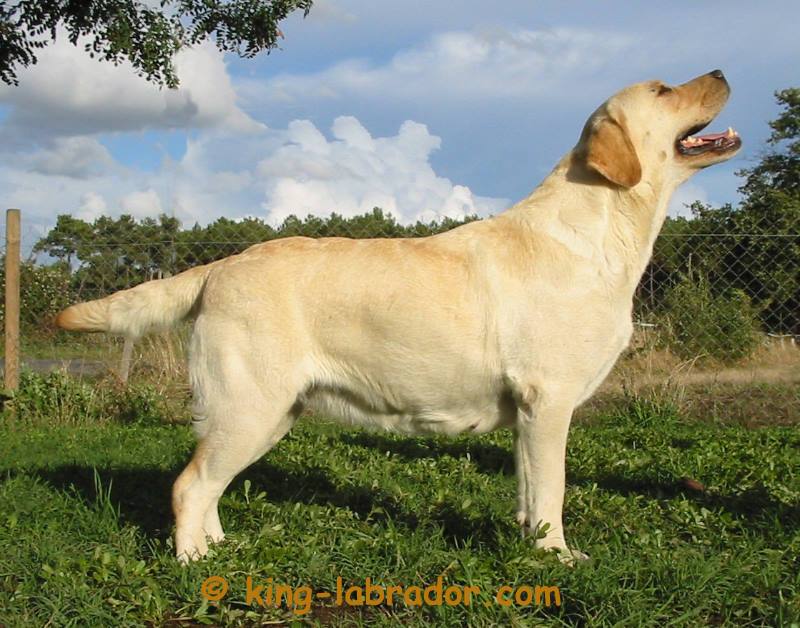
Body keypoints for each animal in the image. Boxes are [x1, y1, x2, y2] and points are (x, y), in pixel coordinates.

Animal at [57, 70, 741, 563]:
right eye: (662, 90)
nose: (722, 70)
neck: (603, 229)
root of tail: (220, 265)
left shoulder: (528, 414)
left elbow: (527, 492)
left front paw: (529, 548)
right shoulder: (547, 402)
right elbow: (553, 492)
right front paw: (558, 559)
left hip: (266, 413)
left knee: (207, 482)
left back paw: (218, 544)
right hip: (250, 405)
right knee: (189, 484)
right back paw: (193, 563)